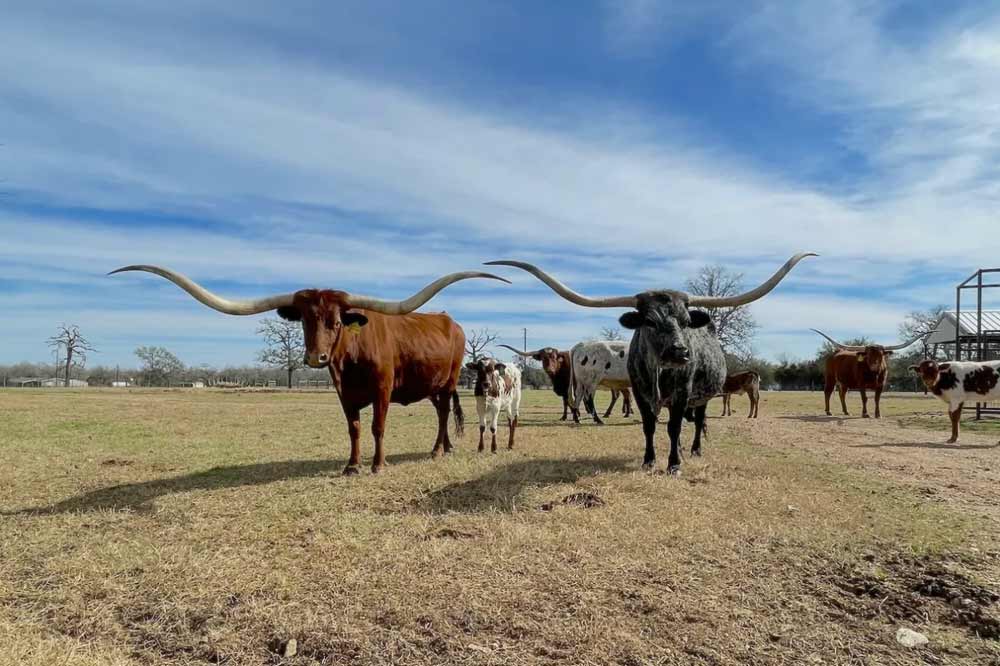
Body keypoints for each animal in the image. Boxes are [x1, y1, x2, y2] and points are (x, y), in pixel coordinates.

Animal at [111, 264, 508, 472]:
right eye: (304, 320)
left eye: (337, 321)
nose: (316, 358)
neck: (350, 362)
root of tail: (450, 322)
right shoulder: (344, 395)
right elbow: (354, 429)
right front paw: (352, 466)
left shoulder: (382, 390)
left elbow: (377, 427)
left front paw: (377, 465)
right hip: (431, 385)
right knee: (441, 412)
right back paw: (442, 448)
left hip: (449, 381)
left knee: (442, 414)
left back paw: (439, 450)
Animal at [488, 252, 816, 474]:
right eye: (649, 322)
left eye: (685, 322)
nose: (680, 352)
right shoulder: (640, 392)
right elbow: (648, 426)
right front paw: (649, 460)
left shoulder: (682, 393)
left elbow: (673, 427)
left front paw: (673, 463)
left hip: (701, 396)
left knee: (696, 421)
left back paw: (692, 449)